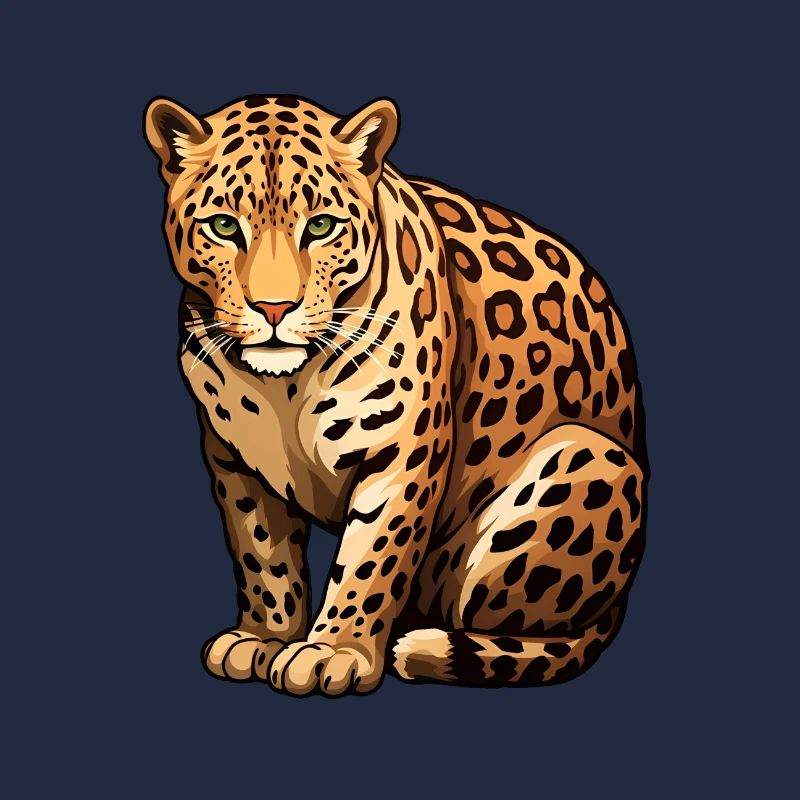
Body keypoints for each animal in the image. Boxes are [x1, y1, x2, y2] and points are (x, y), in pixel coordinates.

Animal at [144, 93, 648, 696]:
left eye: (321, 226)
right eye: (222, 226)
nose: (273, 308)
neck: (283, 386)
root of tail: (618, 607)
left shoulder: (403, 450)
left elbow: (371, 558)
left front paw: (335, 650)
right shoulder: (233, 457)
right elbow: (263, 554)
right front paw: (264, 637)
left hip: (589, 457)